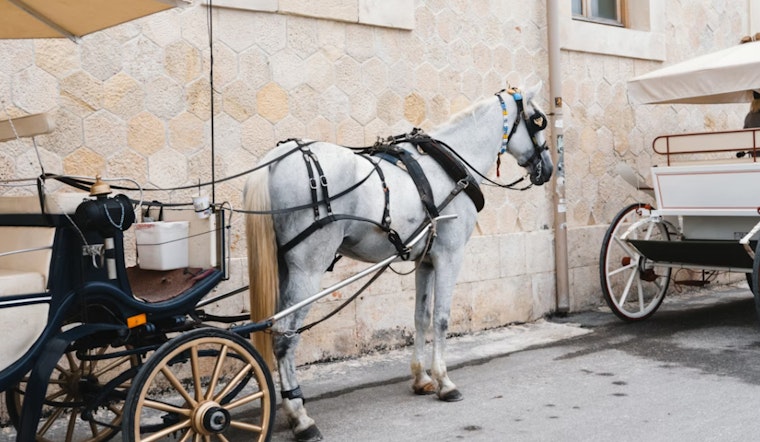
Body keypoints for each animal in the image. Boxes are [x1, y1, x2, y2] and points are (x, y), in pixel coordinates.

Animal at [243, 82, 553, 442]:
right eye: (538, 119)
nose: (548, 167)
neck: (449, 169)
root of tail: (274, 161)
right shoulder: (449, 256)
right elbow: (442, 319)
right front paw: (445, 382)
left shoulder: (426, 261)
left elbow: (420, 317)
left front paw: (421, 378)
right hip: (307, 271)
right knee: (284, 336)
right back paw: (300, 417)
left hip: (283, 267)